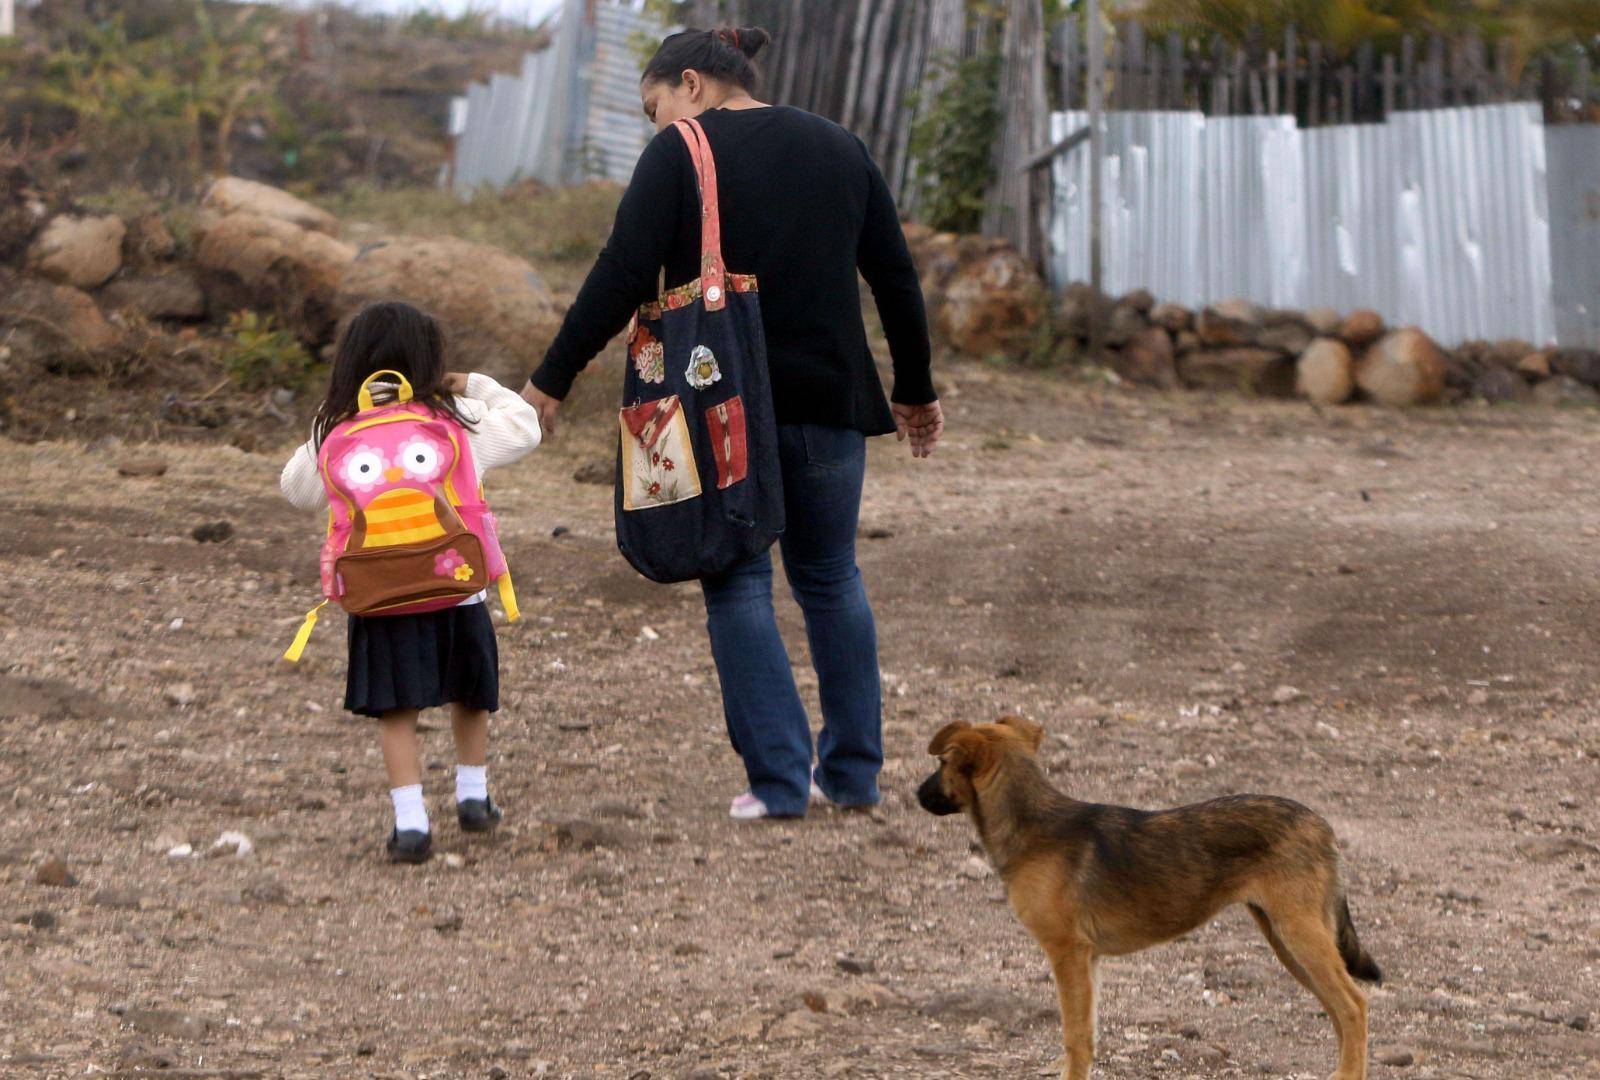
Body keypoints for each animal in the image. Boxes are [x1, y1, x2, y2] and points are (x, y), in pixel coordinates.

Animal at [921, 716, 1382, 1080]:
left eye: (942, 761)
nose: (917, 794)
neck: (1033, 826)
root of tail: (1320, 825)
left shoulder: (1066, 952)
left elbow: (1074, 1036)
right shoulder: (1088, 959)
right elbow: (1086, 1034)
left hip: (1299, 933)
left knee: (1354, 1006)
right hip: (1287, 939)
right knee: (1340, 1011)